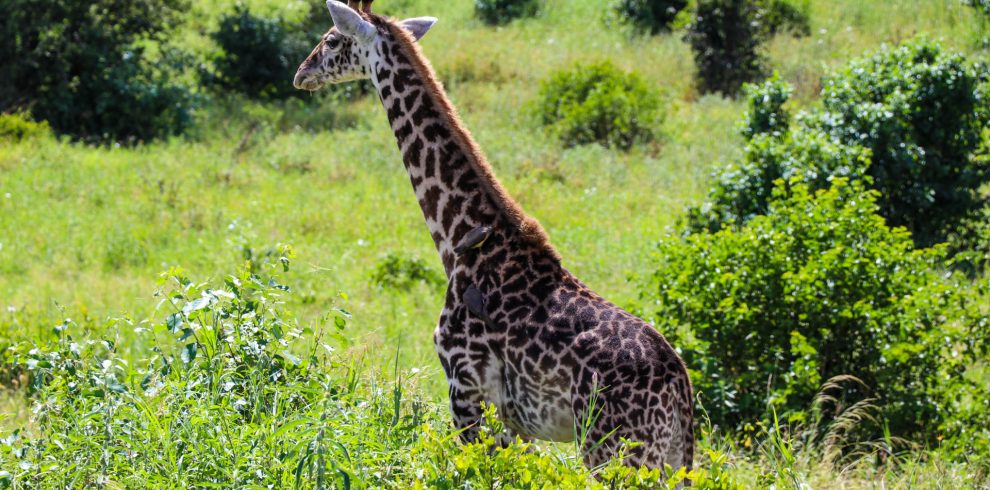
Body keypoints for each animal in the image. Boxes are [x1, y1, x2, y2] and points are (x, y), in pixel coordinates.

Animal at [294, 0, 694, 475]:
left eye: (331, 39)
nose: (301, 73)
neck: (459, 236)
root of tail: (680, 388)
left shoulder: (466, 389)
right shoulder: (515, 421)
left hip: (615, 451)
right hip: (672, 460)